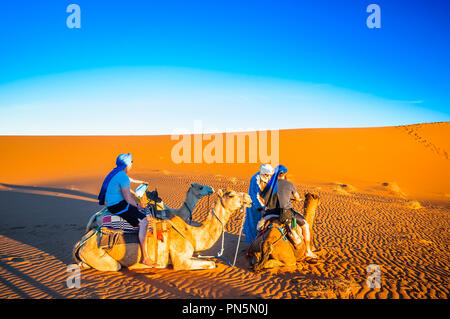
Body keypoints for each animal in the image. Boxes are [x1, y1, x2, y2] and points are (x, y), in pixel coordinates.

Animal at [72, 190, 251, 272]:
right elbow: (212, 263)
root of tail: (81, 242)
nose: (249, 198)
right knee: (115, 266)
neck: (192, 234)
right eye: (231, 194)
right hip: (100, 256)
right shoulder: (181, 261)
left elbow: (210, 260)